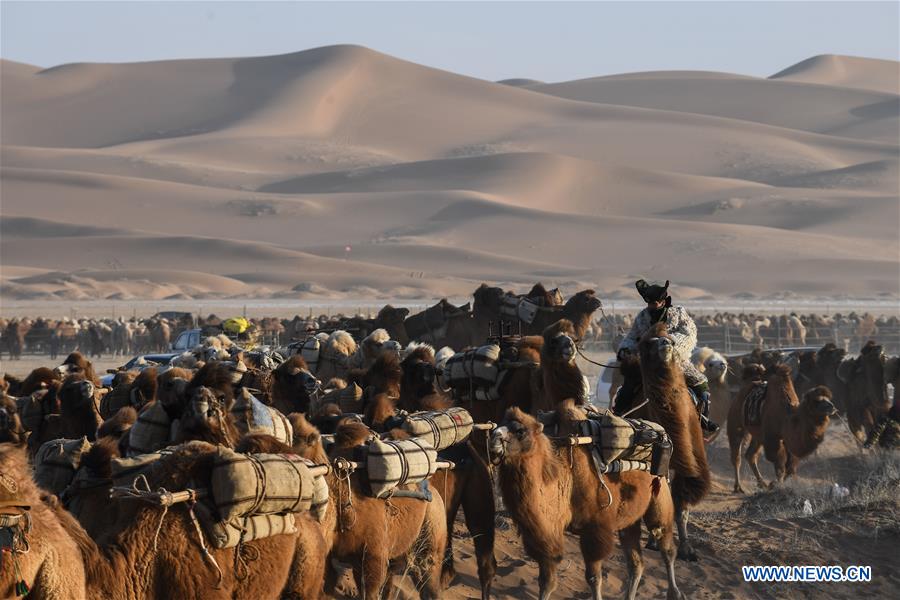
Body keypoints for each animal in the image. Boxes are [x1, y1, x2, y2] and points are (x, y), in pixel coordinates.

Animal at [489, 406, 683, 600]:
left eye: (520, 431)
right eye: (498, 424)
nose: (493, 439)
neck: (565, 479)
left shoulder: (594, 529)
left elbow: (593, 578)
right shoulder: (546, 533)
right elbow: (546, 580)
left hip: (660, 495)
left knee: (665, 545)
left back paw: (675, 592)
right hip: (630, 519)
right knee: (636, 562)